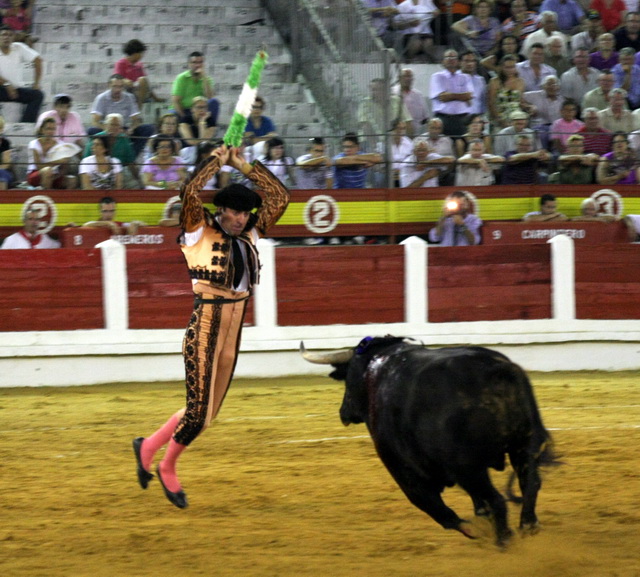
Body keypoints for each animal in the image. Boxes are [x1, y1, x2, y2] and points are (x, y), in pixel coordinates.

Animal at [302, 336, 556, 544]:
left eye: (348, 378)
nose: (343, 412)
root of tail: (497, 370)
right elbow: (478, 506)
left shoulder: (403, 472)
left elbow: (439, 511)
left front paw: (476, 530)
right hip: (523, 446)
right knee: (529, 484)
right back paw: (528, 527)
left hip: (468, 468)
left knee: (496, 500)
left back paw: (504, 540)